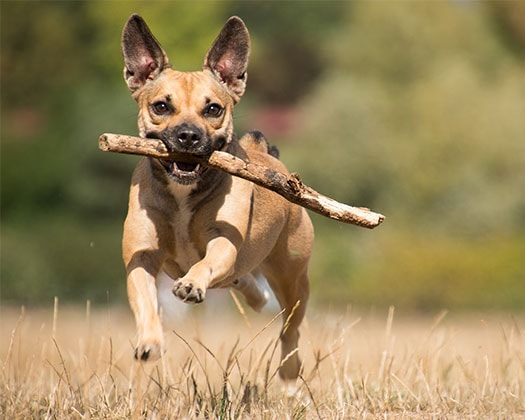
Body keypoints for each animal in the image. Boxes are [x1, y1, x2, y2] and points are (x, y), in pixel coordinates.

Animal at [121, 13, 314, 380]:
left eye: (212, 109)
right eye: (161, 106)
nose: (188, 135)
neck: (183, 191)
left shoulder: (223, 241)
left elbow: (207, 261)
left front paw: (191, 284)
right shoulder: (142, 256)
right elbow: (145, 299)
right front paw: (149, 342)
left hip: (292, 276)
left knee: (291, 328)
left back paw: (289, 368)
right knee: (244, 282)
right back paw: (255, 296)